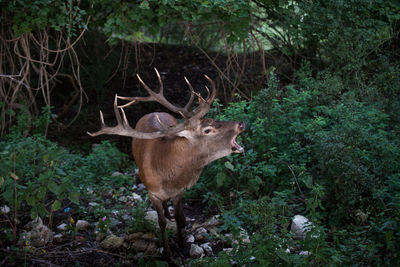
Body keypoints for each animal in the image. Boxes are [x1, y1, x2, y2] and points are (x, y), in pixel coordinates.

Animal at [87, 69, 244, 258]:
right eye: (207, 130)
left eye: (213, 119)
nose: (241, 124)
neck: (167, 175)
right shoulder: (151, 192)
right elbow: (160, 222)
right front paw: (168, 255)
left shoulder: (179, 190)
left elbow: (177, 213)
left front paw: (182, 243)